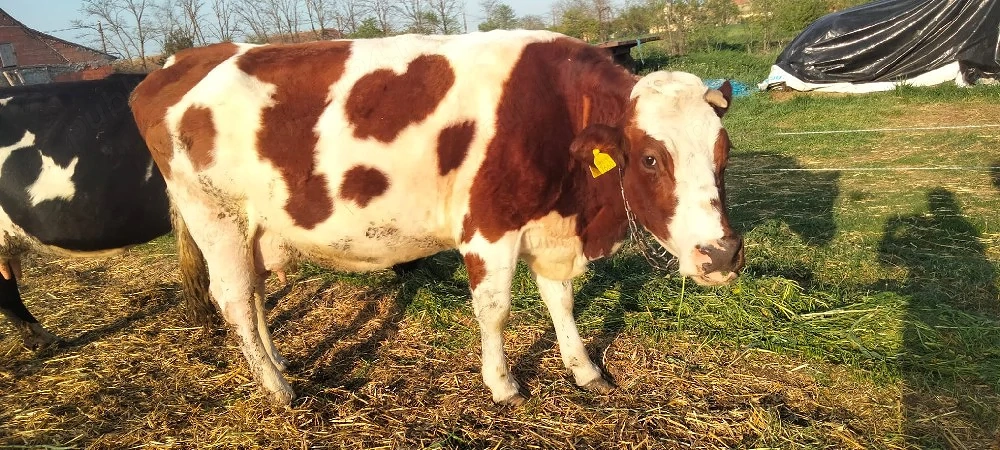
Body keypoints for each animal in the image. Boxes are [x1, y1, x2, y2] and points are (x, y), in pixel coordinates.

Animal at [129, 30, 744, 406]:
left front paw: (584, 369)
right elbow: (495, 310)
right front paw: (503, 384)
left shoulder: (550, 228)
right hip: (215, 216)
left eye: (725, 150)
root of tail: (182, 61)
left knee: (254, 296)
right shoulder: (489, 227)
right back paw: (277, 386)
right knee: (233, 297)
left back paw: (277, 363)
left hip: (251, 227)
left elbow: (561, 301)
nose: (722, 254)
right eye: (651, 158)